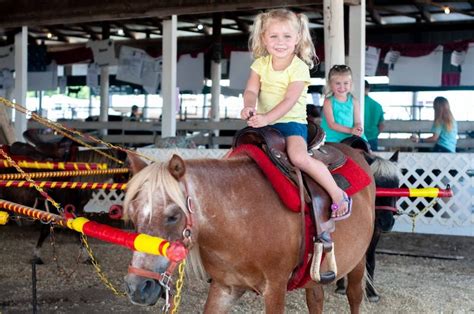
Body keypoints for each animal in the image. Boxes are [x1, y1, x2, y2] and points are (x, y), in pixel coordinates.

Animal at [334, 151, 400, 302]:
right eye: (376, 186)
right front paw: (341, 286)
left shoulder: (375, 233)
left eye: (397, 187)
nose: (387, 222)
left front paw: (372, 293)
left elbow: (371, 260)